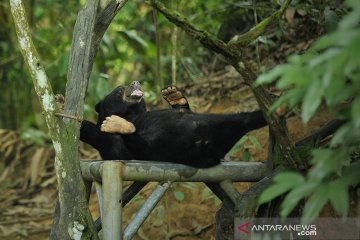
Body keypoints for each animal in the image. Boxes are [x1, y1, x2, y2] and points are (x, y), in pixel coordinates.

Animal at [81, 80, 268, 167]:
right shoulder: (114, 146)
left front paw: (174, 94)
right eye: (120, 89)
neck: (131, 114)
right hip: (167, 148)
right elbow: (109, 143)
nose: (136, 82)